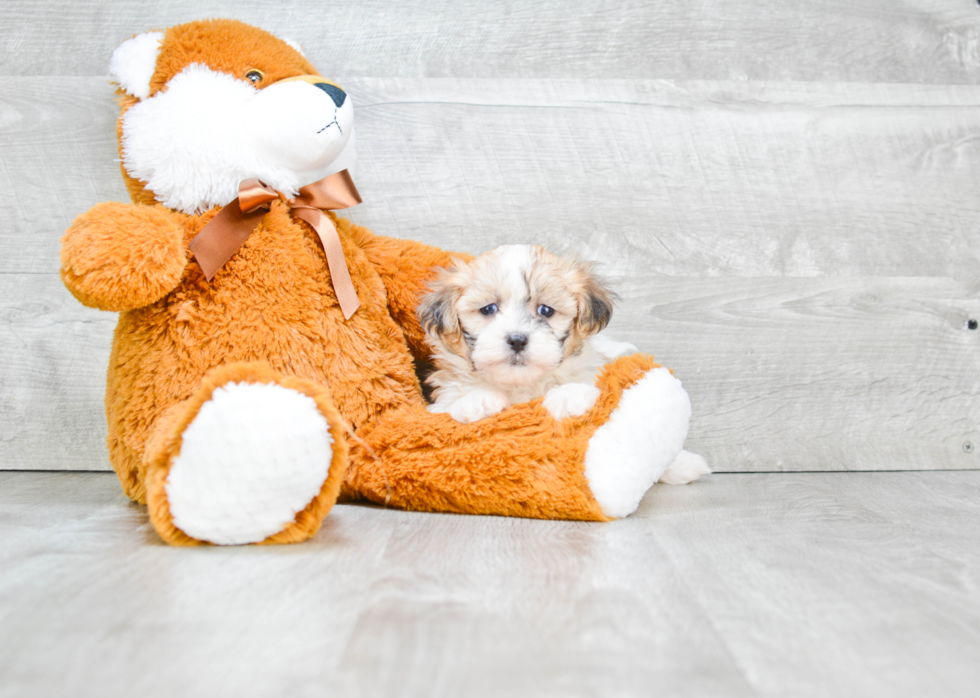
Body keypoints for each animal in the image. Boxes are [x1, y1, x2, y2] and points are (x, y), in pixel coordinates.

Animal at [416, 242, 636, 422]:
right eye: (488, 309)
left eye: (546, 310)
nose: (517, 340)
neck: (519, 384)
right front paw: (477, 400)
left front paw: (569, 396)